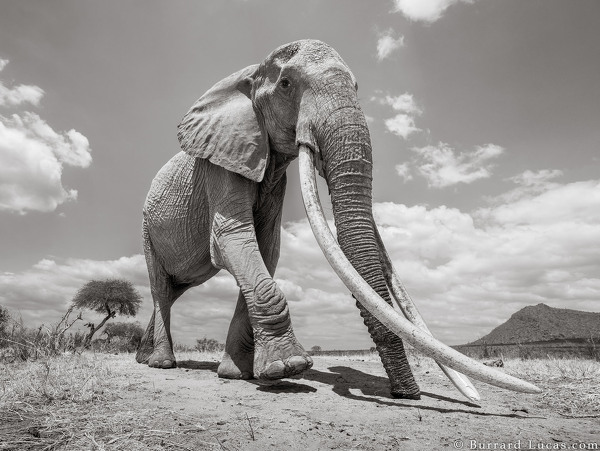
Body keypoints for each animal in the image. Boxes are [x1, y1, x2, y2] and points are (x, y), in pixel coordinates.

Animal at [138, 38, 540, 400]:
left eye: (357, 88)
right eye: (286, 85)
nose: (405, 394)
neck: (247, 75)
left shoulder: (273, 177)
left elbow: (266, 250)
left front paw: (238, 375)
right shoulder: (221, 163)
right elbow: (232, 239)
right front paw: (289, 368)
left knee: (173, 290)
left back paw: (145, 357)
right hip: (146, 228)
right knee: (161, 288)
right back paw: (161, 363)